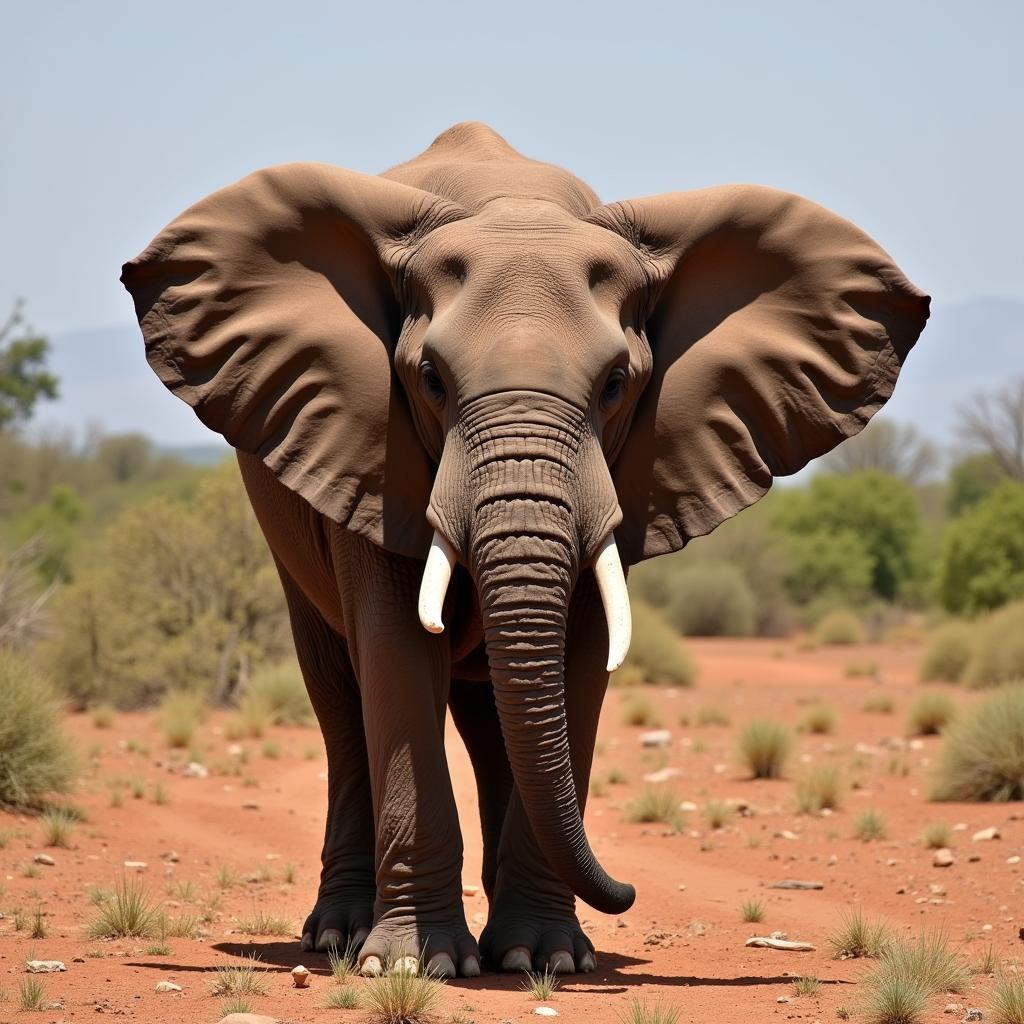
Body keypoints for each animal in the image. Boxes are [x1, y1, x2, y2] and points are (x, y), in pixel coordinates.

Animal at [119, 123, 929, 978]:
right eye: (430, 379)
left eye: (616, 383)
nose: (628, 891)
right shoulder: (369, 447)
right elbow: (396, 654)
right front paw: (413, 966)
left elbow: (581, 653)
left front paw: (545, 959)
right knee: (339, 696)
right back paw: (338, 938)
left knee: (490, 717)